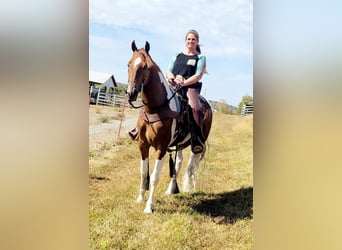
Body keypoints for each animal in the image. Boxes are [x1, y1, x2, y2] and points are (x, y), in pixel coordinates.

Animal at [125, 40, 211, 213]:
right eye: (129, 64)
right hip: (180, 144)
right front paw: (140, 198)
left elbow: (154, 177)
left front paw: (149, 206)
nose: (131, 93)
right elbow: (143, 172)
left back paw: (189, 188)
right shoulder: (142, 145)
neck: (156, 108)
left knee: (192, 165)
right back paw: (171, 189)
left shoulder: (162, 148)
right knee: (178, 162)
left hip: (197, 145)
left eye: (145, 66)